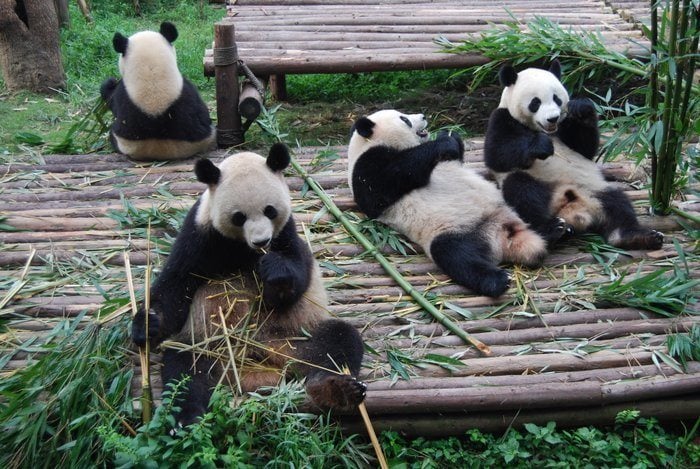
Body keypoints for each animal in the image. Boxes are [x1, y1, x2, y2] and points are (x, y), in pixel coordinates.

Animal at [133, 144, 370, 426]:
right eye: (239, 217)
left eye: (270, 210)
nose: (261, 241)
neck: (243, 248)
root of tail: (259, 360)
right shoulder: (200, 234)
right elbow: (176, 285)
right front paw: (147, 324)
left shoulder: (286, 233)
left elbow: (298, 272)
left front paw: (275, 274)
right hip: (207, 345)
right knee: (184, 370)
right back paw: (187, 417)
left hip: (297, 336)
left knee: (337, 343)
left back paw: (336, 390)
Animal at [348, 109, 568, 296]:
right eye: (404, 119)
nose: (423, 116)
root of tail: (502, 239)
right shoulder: (366, 168)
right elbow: (386, 181)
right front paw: (443, 141)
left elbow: (455, 155)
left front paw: (449, 134)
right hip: (453, 232)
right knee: (457, 256)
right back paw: (497, 280)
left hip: (506, 206)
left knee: (524, 202)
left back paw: (553, 228)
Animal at [484, 60, 664, 250]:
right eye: (535, 102)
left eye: (556, 98)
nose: (553, 118)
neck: (545, 131)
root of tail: (576, 211)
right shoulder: (502, 118)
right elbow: (497, 154)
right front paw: (540, 146)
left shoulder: (565, 125)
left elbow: (585, 148)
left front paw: (582, 108)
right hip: (541, 187)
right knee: (522, 192)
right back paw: (552, 229)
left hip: (593, 189)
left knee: (617, 202)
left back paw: (633, 236)